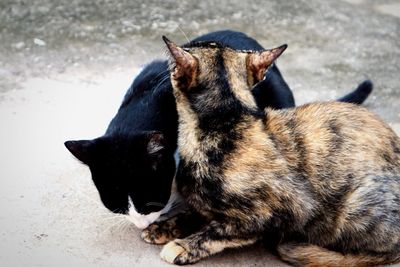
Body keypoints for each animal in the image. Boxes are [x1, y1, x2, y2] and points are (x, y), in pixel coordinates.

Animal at [144, 37, 400, 266]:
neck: (226, 123)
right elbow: (195, 212)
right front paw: (162, 227)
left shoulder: (284, 210)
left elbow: (218, 230)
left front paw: (183, 245)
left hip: (356, 206)